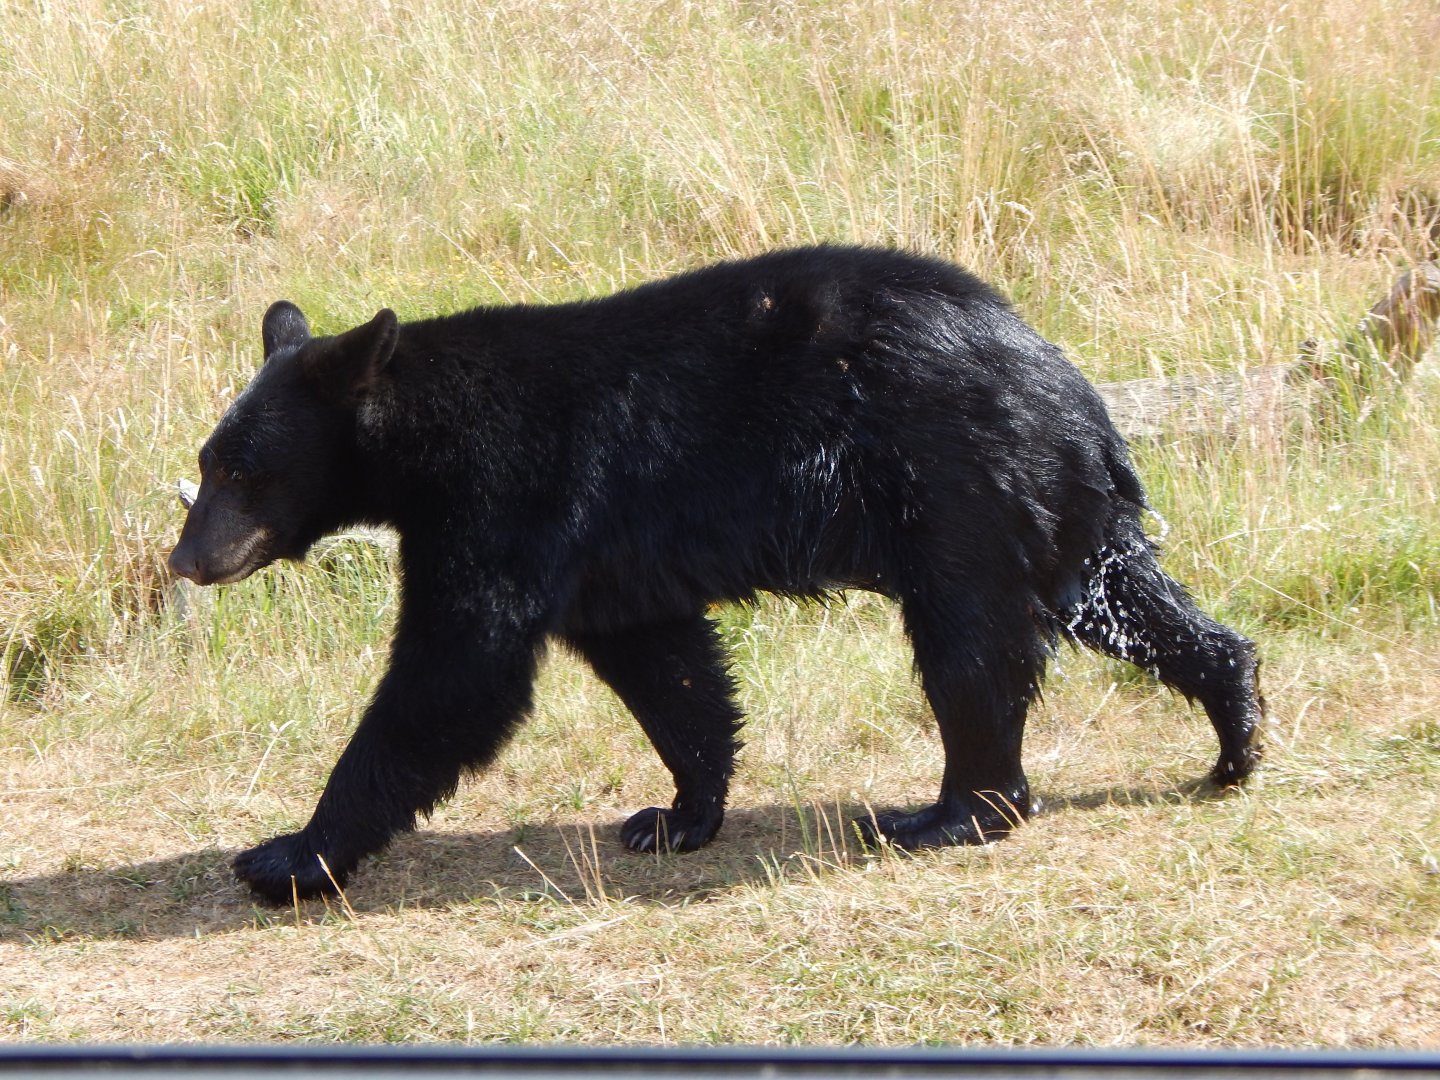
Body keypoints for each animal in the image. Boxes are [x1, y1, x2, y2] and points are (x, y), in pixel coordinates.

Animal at [167, 245, 1263, 903]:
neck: (423, 439)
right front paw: (675, 814)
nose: (185, 556)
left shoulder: (512, 497)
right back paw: (1235, 734)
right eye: (206, 459)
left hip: (956, 488)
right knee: (1127, 604)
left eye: (240, 470)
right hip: (1055, 509)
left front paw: (289, 854)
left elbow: (455, 672)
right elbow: (668, 668)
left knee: (970, 648)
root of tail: (1073, 385)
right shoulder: (602, 557)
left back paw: (951, 812)